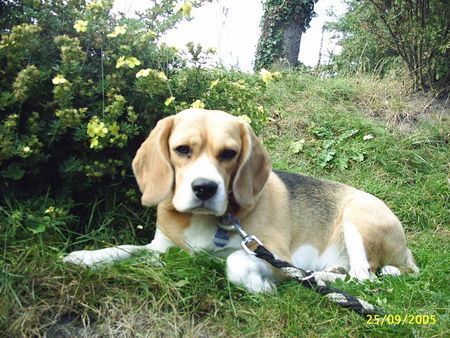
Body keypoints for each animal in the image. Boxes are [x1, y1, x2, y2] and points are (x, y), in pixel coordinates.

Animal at [63, 109, 418, 294]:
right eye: (182, 150)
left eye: (229, 153)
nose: (204, 188)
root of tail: (408, 255)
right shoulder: (160, 249)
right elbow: (123, 250)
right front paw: (84, 257)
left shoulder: (273, 252)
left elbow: (235, 260)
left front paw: (259, 286)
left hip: (357, 218)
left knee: (363, 278)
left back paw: (316, 276)